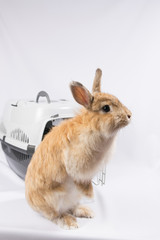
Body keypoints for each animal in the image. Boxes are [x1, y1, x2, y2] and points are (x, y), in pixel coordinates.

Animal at [25, 69, 132, 229]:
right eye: (106, 108)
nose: (130, 115)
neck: (93, 129)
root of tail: (31, 203)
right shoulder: (76, 167)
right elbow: (83, 182)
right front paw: (90, 195)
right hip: (52, 200)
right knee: (55, 215)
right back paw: (69, 222)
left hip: (72, 198)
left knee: (71, 207)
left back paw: (85, 211)